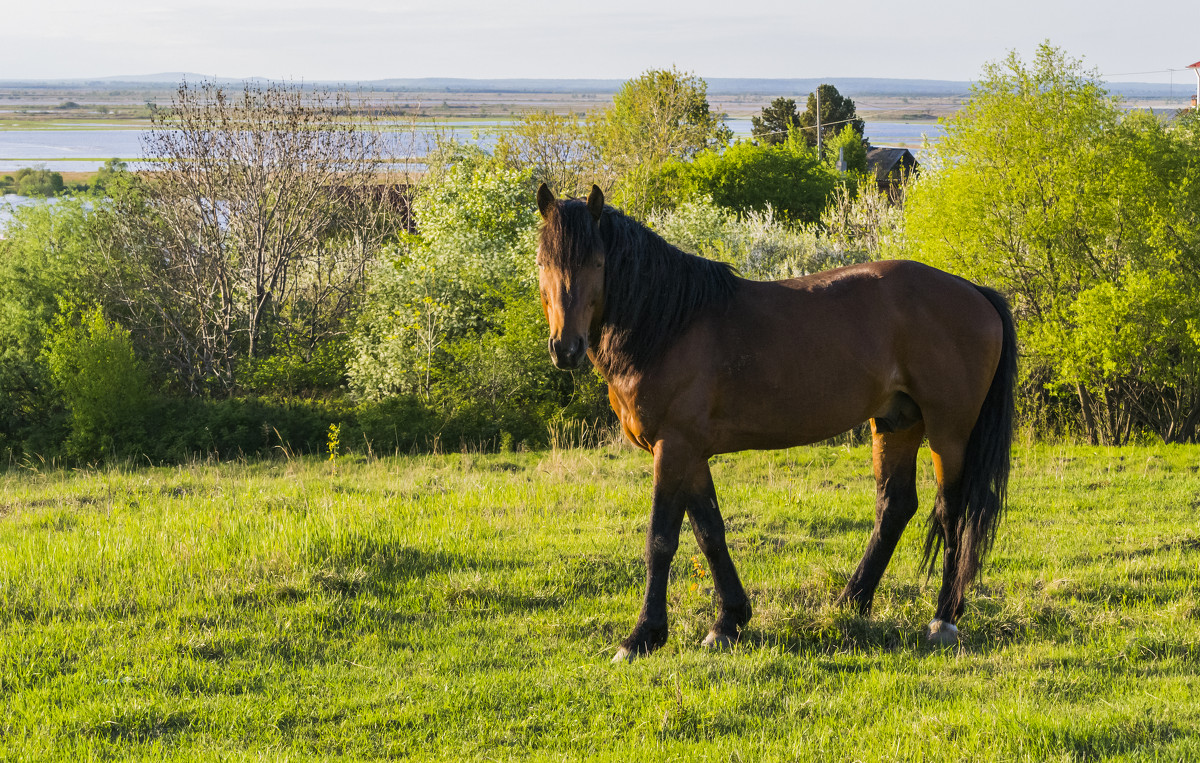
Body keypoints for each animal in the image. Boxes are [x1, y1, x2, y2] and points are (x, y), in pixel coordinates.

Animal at [535, 184, 1012, 662]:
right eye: (542, 262)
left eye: (597, 263)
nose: (566, 348)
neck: (669, 326)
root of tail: (973, 289)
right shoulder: (690, 454)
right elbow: (710, 532)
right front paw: (728, 622)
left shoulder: (673, 448)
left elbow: (661, 540)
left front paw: (642, 636)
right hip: (897, 422)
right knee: (895, 507)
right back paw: (851, 602)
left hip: (949, 432)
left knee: (952, 512)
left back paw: (943, 619)